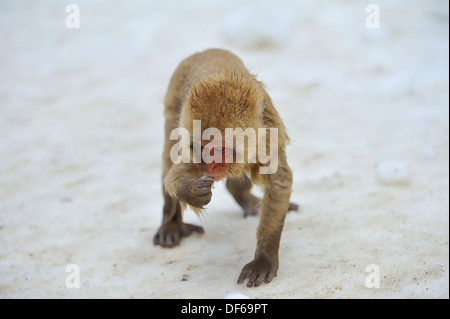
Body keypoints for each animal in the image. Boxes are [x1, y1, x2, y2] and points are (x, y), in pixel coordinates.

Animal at [153, 48, 298, 288]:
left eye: (219, 149)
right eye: (202, 148)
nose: (210, 165)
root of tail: (203, 51)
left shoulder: (268, 136)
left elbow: (279, 183)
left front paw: (264, 258)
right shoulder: (190, 144)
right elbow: (174, 174)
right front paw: (189, 191)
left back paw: (243, 198)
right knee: (167, 156)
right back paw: (171, 223)